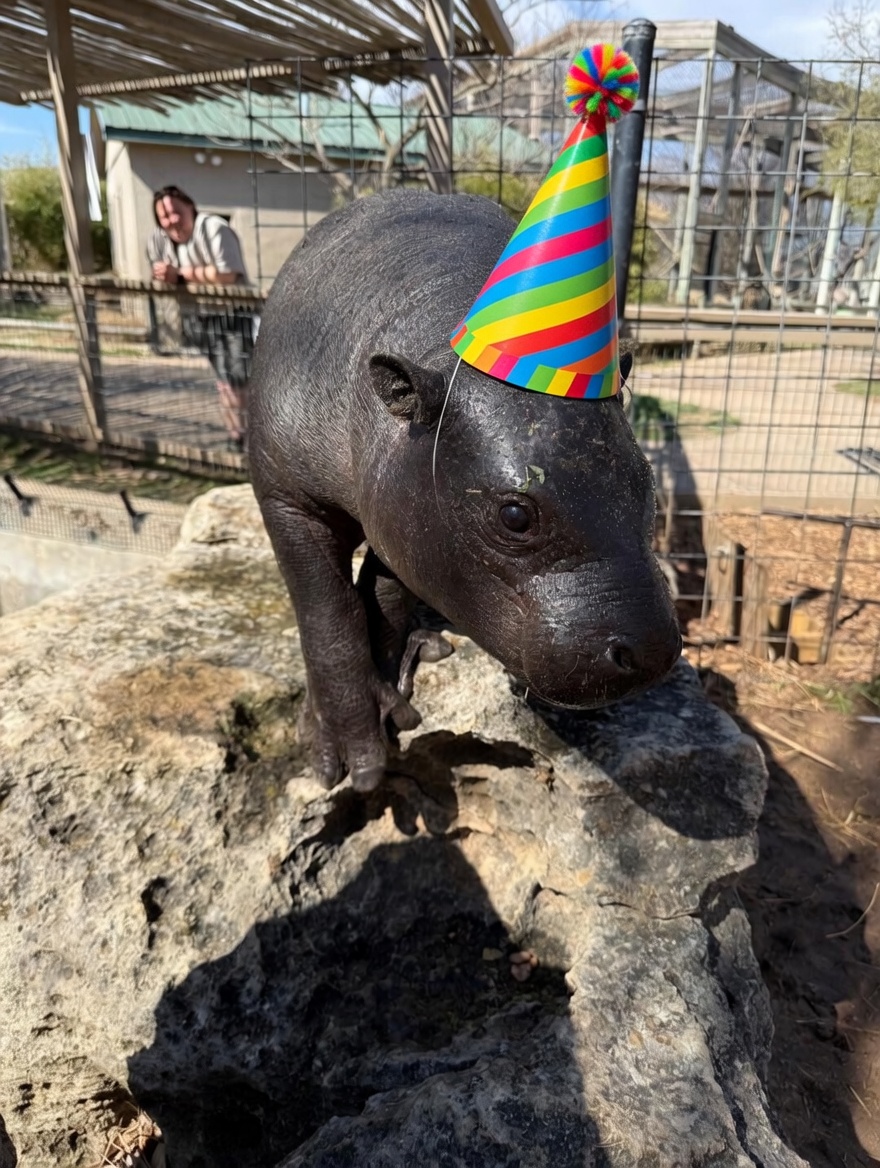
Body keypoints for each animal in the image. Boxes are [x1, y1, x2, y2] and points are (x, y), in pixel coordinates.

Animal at [248, 190, 681, 792]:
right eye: (515, 515)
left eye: (647, 484)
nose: (653, 649)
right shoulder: (287, 498)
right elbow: (325, 615)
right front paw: (350, 756)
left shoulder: (404, 514)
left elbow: (388, 589)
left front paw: (397, 688)